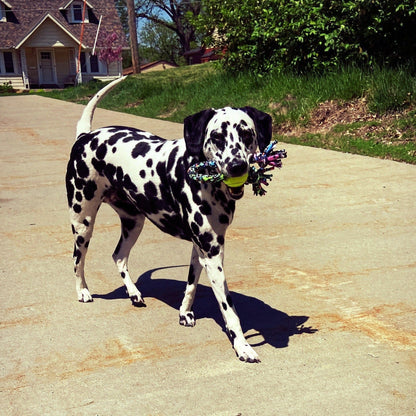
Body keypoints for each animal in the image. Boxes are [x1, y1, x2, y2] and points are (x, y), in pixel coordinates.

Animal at [66, 76, 272, 362]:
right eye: (217, 137)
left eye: (247, 134)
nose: (237, 167)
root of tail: (86, 136)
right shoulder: (213, 255)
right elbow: (229, 310)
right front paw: (242, 346)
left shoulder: (202, 249)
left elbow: (191, 285)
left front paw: (184, 313)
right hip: (83, 223)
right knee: (78, 260)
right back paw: (83, 291)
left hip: (134, 223)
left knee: (118, 256)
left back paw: (134, 293)